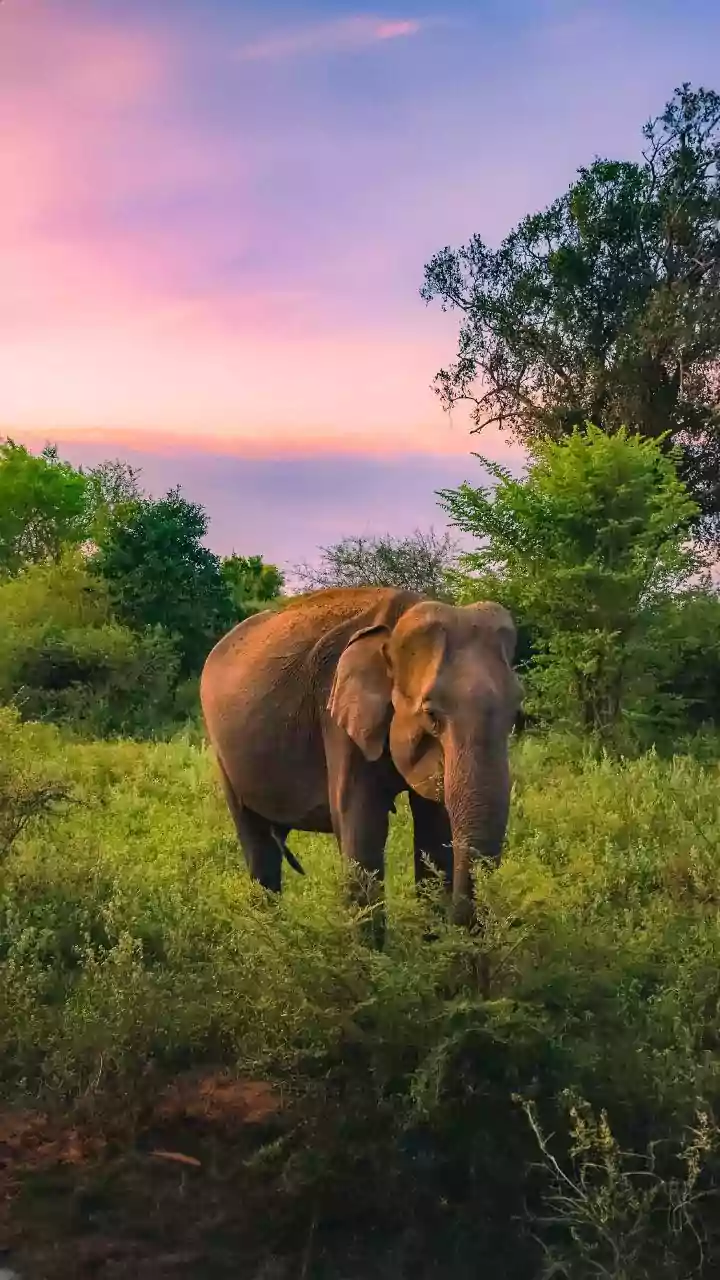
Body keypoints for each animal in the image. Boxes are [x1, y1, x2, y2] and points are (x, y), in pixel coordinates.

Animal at [200, 586, 521, 941]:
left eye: (516, 709)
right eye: (431, 714)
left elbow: (434, 832)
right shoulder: (338, 718)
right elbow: (362, 828)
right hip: (223, 754)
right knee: (257, 846)